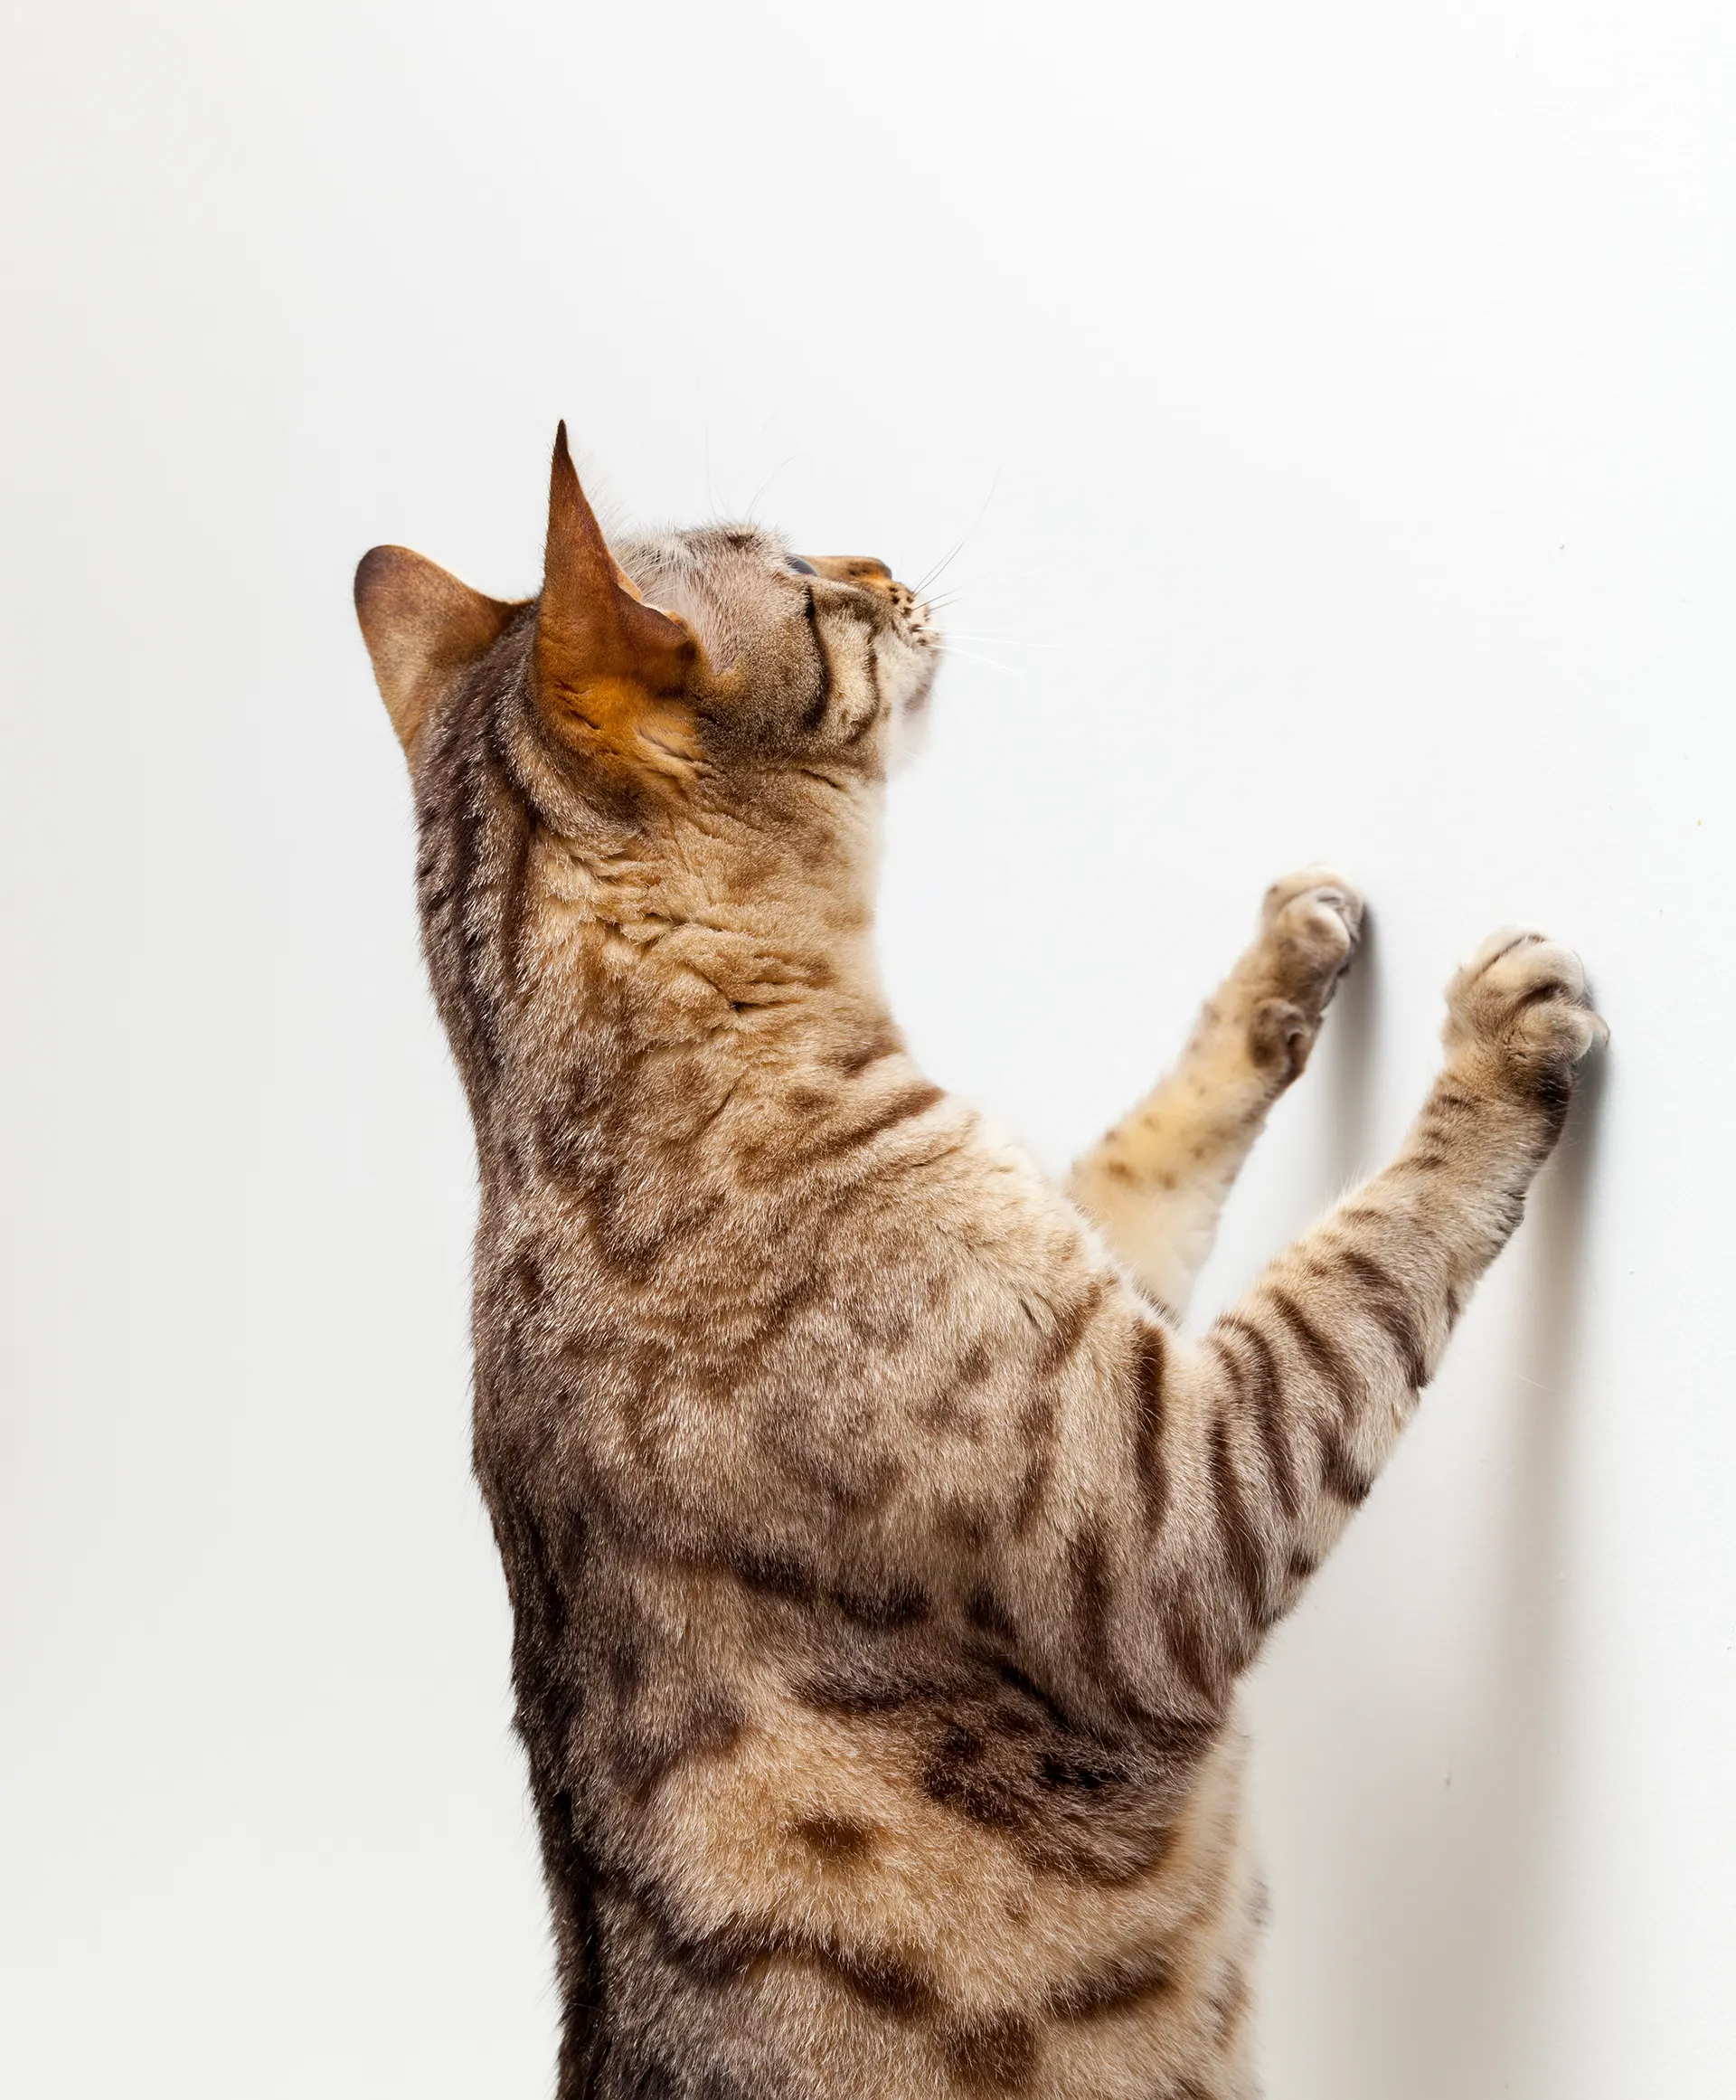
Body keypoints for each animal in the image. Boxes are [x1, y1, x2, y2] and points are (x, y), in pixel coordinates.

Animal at [353, 430, 1603, 2100]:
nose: (880, 565)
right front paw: (1496, 1039)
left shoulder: (1103, 1286)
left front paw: (1286, 956)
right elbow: (1363, 1259)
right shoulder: (1171, 1500)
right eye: (798, 573)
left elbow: (1152, 1147)